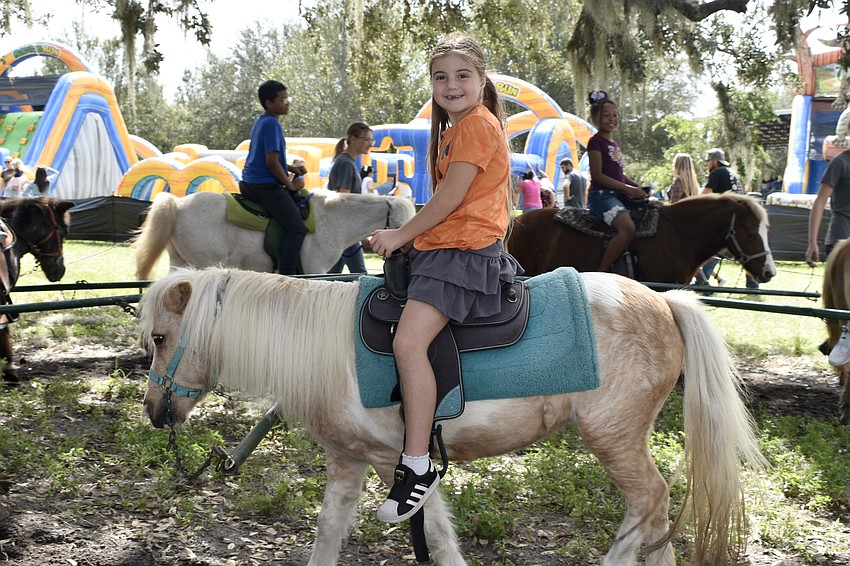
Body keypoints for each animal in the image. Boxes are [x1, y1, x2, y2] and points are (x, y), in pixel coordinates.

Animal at [134, 190, 416, 279]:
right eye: (402, 224)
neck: (334, 220)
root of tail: (179, 204)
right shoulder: (314, 269)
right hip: (205, 263)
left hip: (179, 262)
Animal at [139, 266, 764, 565]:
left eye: (162, 338)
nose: (153, 412)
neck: (324, 347)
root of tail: (665, 302)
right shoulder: (351, 462)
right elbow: (331, 533)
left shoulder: (398, 463)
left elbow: (436, 538)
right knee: (657, 514)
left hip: (614, 437)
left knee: (649, 501)